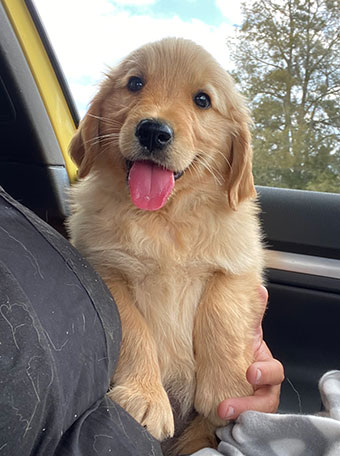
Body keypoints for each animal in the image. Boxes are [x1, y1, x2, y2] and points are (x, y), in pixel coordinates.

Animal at [66, 37, 262, 454]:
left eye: (202, 100)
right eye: (135, 83)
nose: (154, 130)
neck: (165, 219)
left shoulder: (240, 265)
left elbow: (221, 311)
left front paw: (228, 389)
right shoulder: (106, 269)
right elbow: (133, 328)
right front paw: (145, 397)